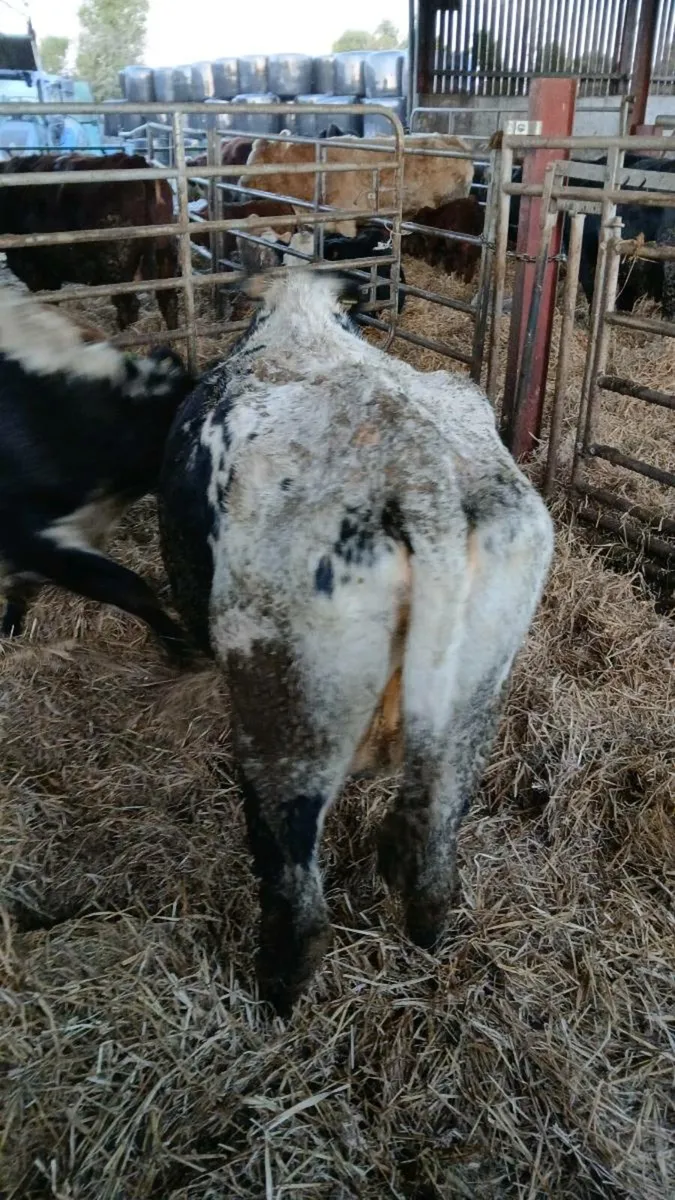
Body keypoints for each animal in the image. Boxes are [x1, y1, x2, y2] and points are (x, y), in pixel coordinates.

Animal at [0, 152, 179, 331]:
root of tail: (133, 160)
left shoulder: (36, 272)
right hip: (165, 254)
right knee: (167, 298)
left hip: (118, 265)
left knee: (128, 306)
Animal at [158, 269, 554, 1015]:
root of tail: (416, 468)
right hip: (474, 701)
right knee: (434, 853)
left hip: (288, 717)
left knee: (297, 885)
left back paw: (277, 991)